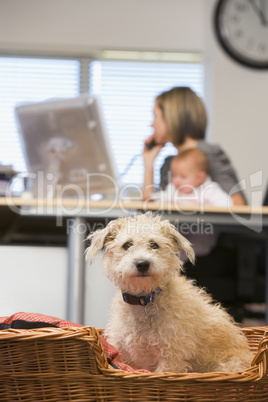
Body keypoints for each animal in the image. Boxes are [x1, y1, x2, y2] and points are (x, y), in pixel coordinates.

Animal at [86, 212, 253, 372]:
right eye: (127, 245)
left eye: (154, 244)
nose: (142, 264)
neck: (144, 301)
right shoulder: (122, 351)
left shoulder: (171, 357)